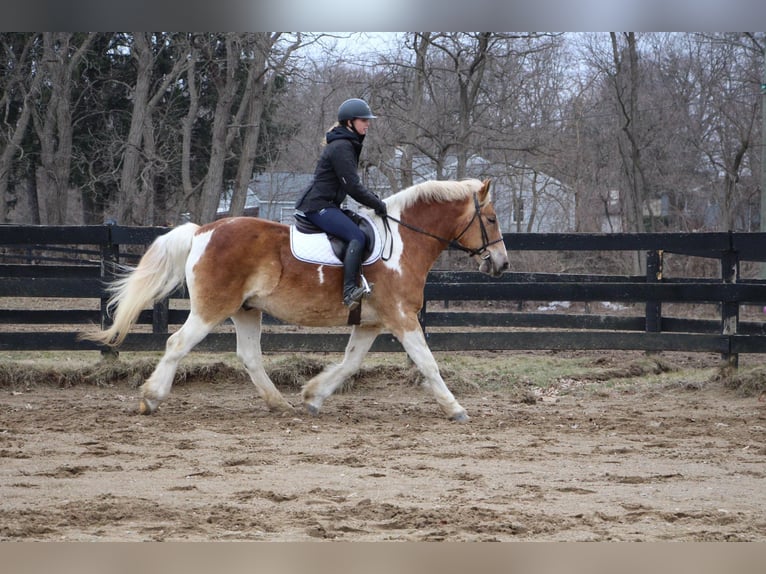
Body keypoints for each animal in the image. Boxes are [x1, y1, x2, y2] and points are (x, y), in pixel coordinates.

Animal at [82, 180, 510, 424]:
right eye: (490, 219)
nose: (502, 264)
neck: (403, 242)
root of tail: (203, 231)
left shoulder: (371, 323)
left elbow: (349, 363)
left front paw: (313, 396)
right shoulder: (403, 318)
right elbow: (428, 363)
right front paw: (455, 408)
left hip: (246, 312)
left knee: (250, 358)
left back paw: (279, 405)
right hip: (211, 309)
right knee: (176, 344)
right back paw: (151, 399)